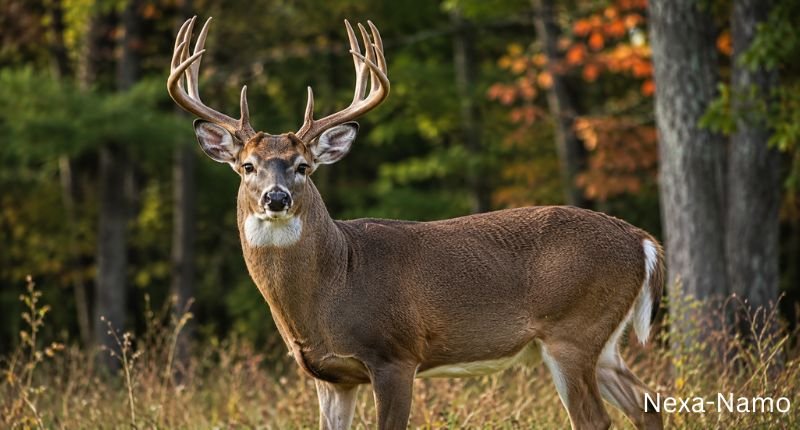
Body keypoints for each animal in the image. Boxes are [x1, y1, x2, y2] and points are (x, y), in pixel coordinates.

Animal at [168, 16, 665, 430]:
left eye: (303, 166)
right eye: (247, 166)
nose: (277, 197)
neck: (334, 281)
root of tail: (642, 240)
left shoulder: (396, 355)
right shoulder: (331, 376)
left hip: (572, 330)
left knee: (596, 419)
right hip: (603, 343)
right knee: (646, 406)